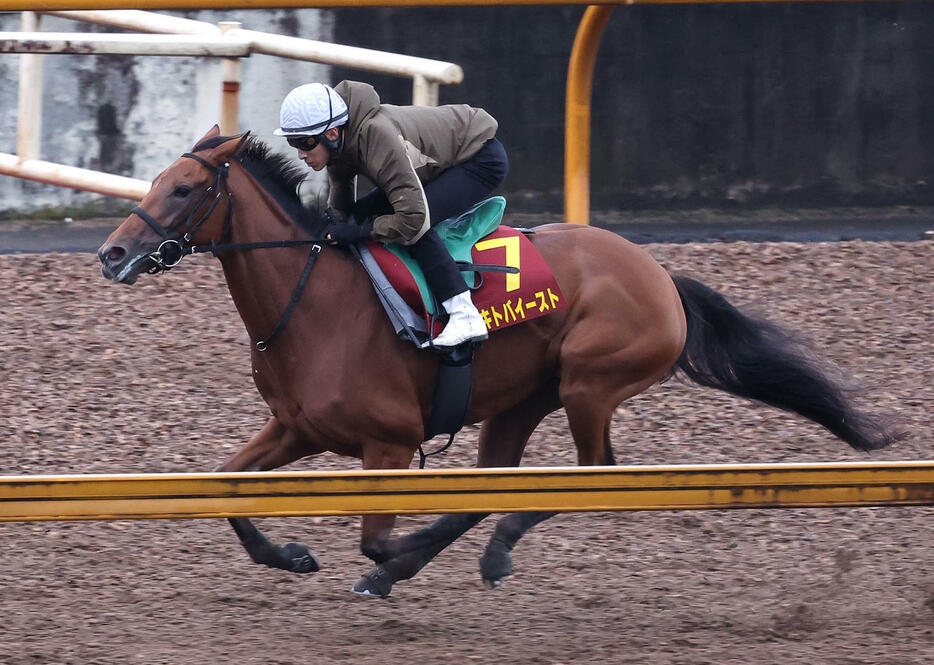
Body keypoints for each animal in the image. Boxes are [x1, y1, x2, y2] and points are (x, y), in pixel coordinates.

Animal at [95, 126, 900, 596]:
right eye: (154, 180)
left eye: (184, 188)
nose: (111, 253)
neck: (312, 303)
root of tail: (661, 275)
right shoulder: (297, 427)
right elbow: (227, 488)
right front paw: (291, 554)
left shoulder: (388, 443)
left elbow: (373, 535)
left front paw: (393, 551)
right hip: (521, 400)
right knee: (502, 483)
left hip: (589, 381)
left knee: (592, 475)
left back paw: (454, 556)